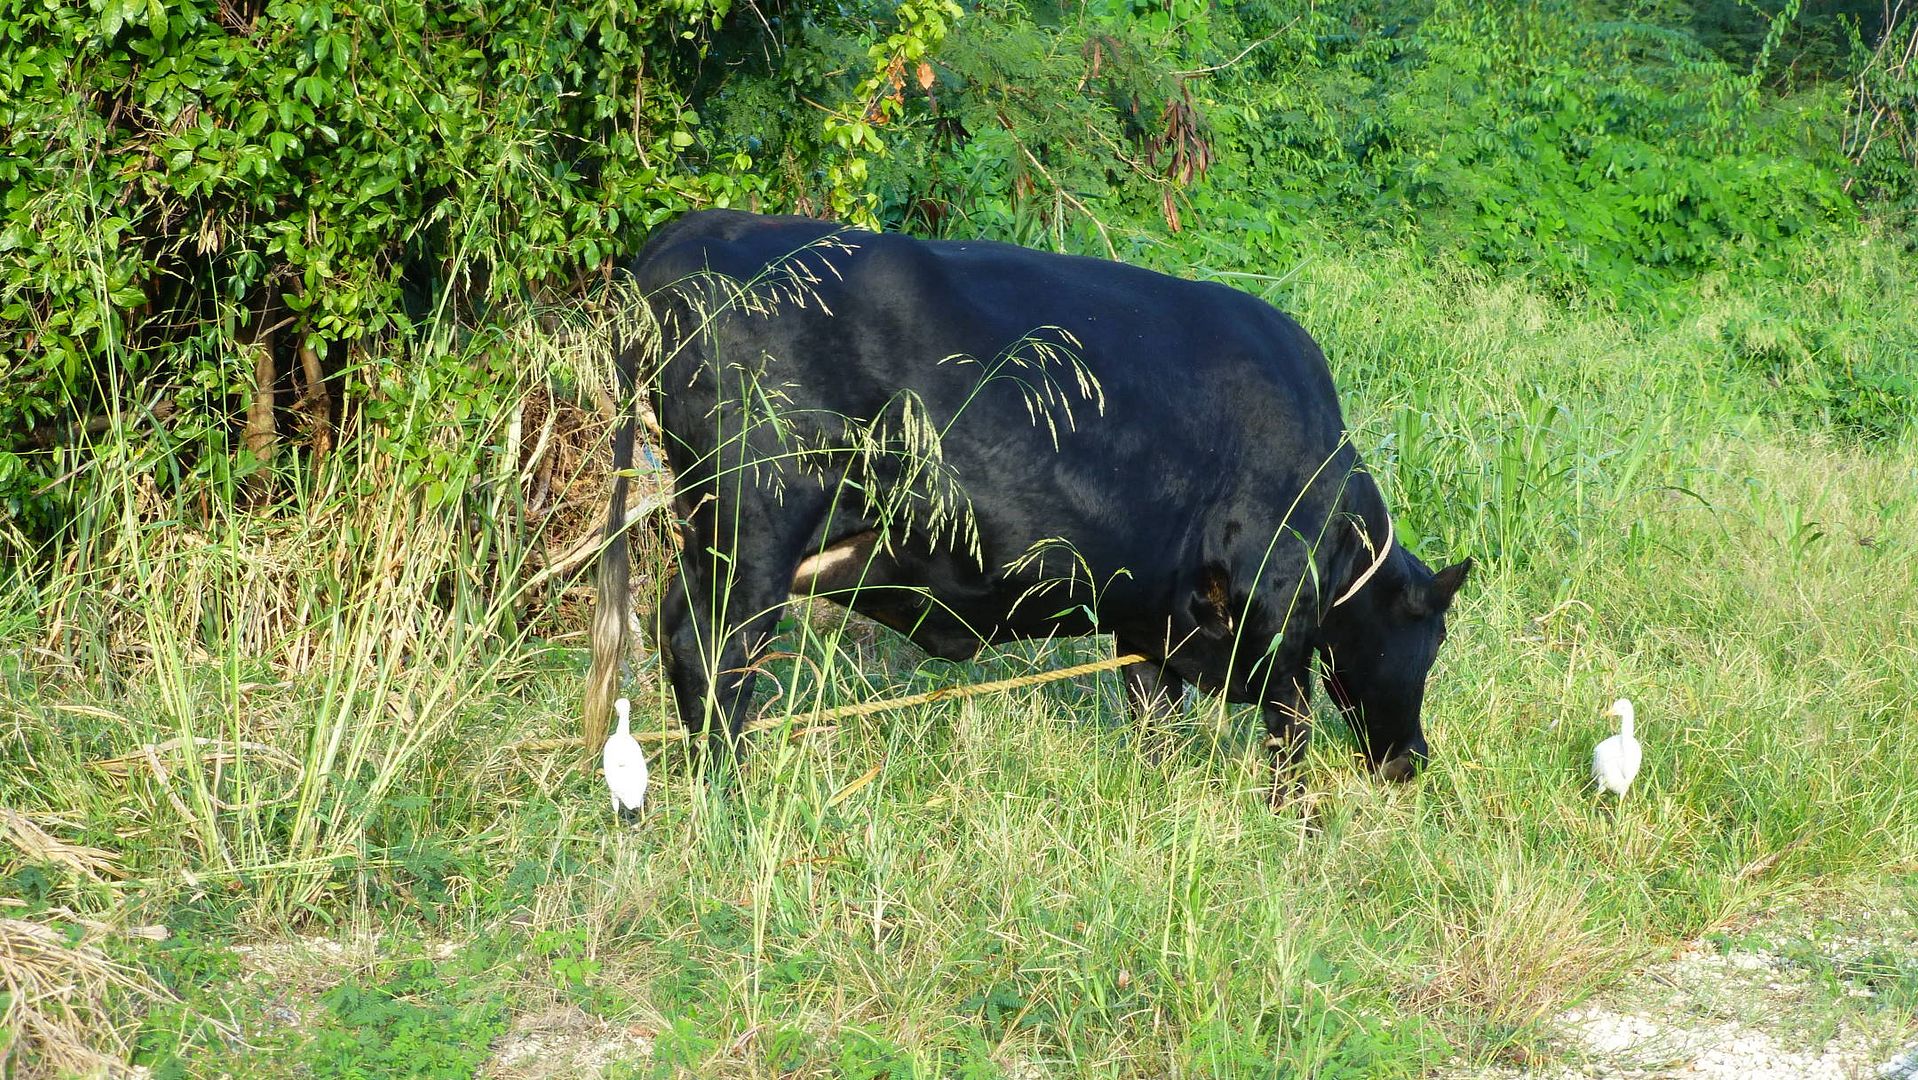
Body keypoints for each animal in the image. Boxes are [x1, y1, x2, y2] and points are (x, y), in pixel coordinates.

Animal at [590, 211, 1473, 798]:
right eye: (1428, 644)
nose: (1413, 760)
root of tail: (691, 232)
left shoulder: (1151, 610)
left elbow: (1153, 710)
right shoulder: (1277, 605)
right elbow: (1289, 727)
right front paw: (1296, 817)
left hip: (730, 531)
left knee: (680, 630)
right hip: (760, 522)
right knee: (713, 649)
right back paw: (729, 790)